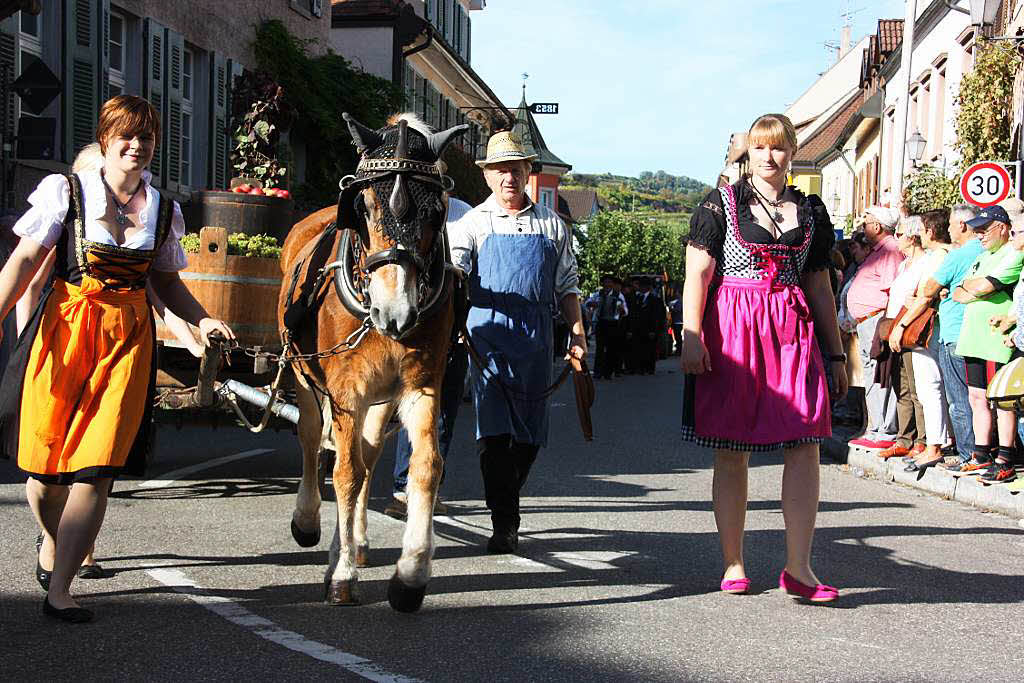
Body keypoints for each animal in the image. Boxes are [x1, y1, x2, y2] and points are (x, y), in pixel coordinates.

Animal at [274, 113, 462, 614]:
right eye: (361, 206)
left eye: (437, 210)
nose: (395, 312)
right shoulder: (344, 391)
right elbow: (344, 472)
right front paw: (341, 575)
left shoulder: (421, 386)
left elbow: (425, 466)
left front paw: (411, 573)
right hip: (304, 374)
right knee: (314, 442)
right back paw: (309, 522)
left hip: (380, 400)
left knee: (368, 452)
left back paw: (354, 540)